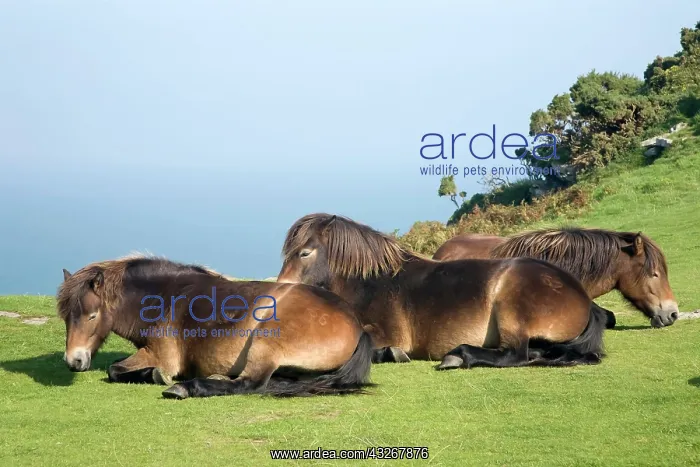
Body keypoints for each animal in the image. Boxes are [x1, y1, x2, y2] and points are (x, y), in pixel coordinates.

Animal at [56, 255, 374, 399]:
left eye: (92, 316)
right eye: (66, 317)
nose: (73, 361)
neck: (166, 298)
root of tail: (356, 324)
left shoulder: (160, 355)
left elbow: (115, 370)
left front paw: (156, 376)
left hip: (265, 340)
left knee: (250, 384)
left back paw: (186, 388)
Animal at [277, 213, 608, 370]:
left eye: (304, 253)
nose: (282, 290)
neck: (372, 282)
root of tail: (579, 293)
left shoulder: (386, 332)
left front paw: (392, 354)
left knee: (514, 355)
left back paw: (458, 356)